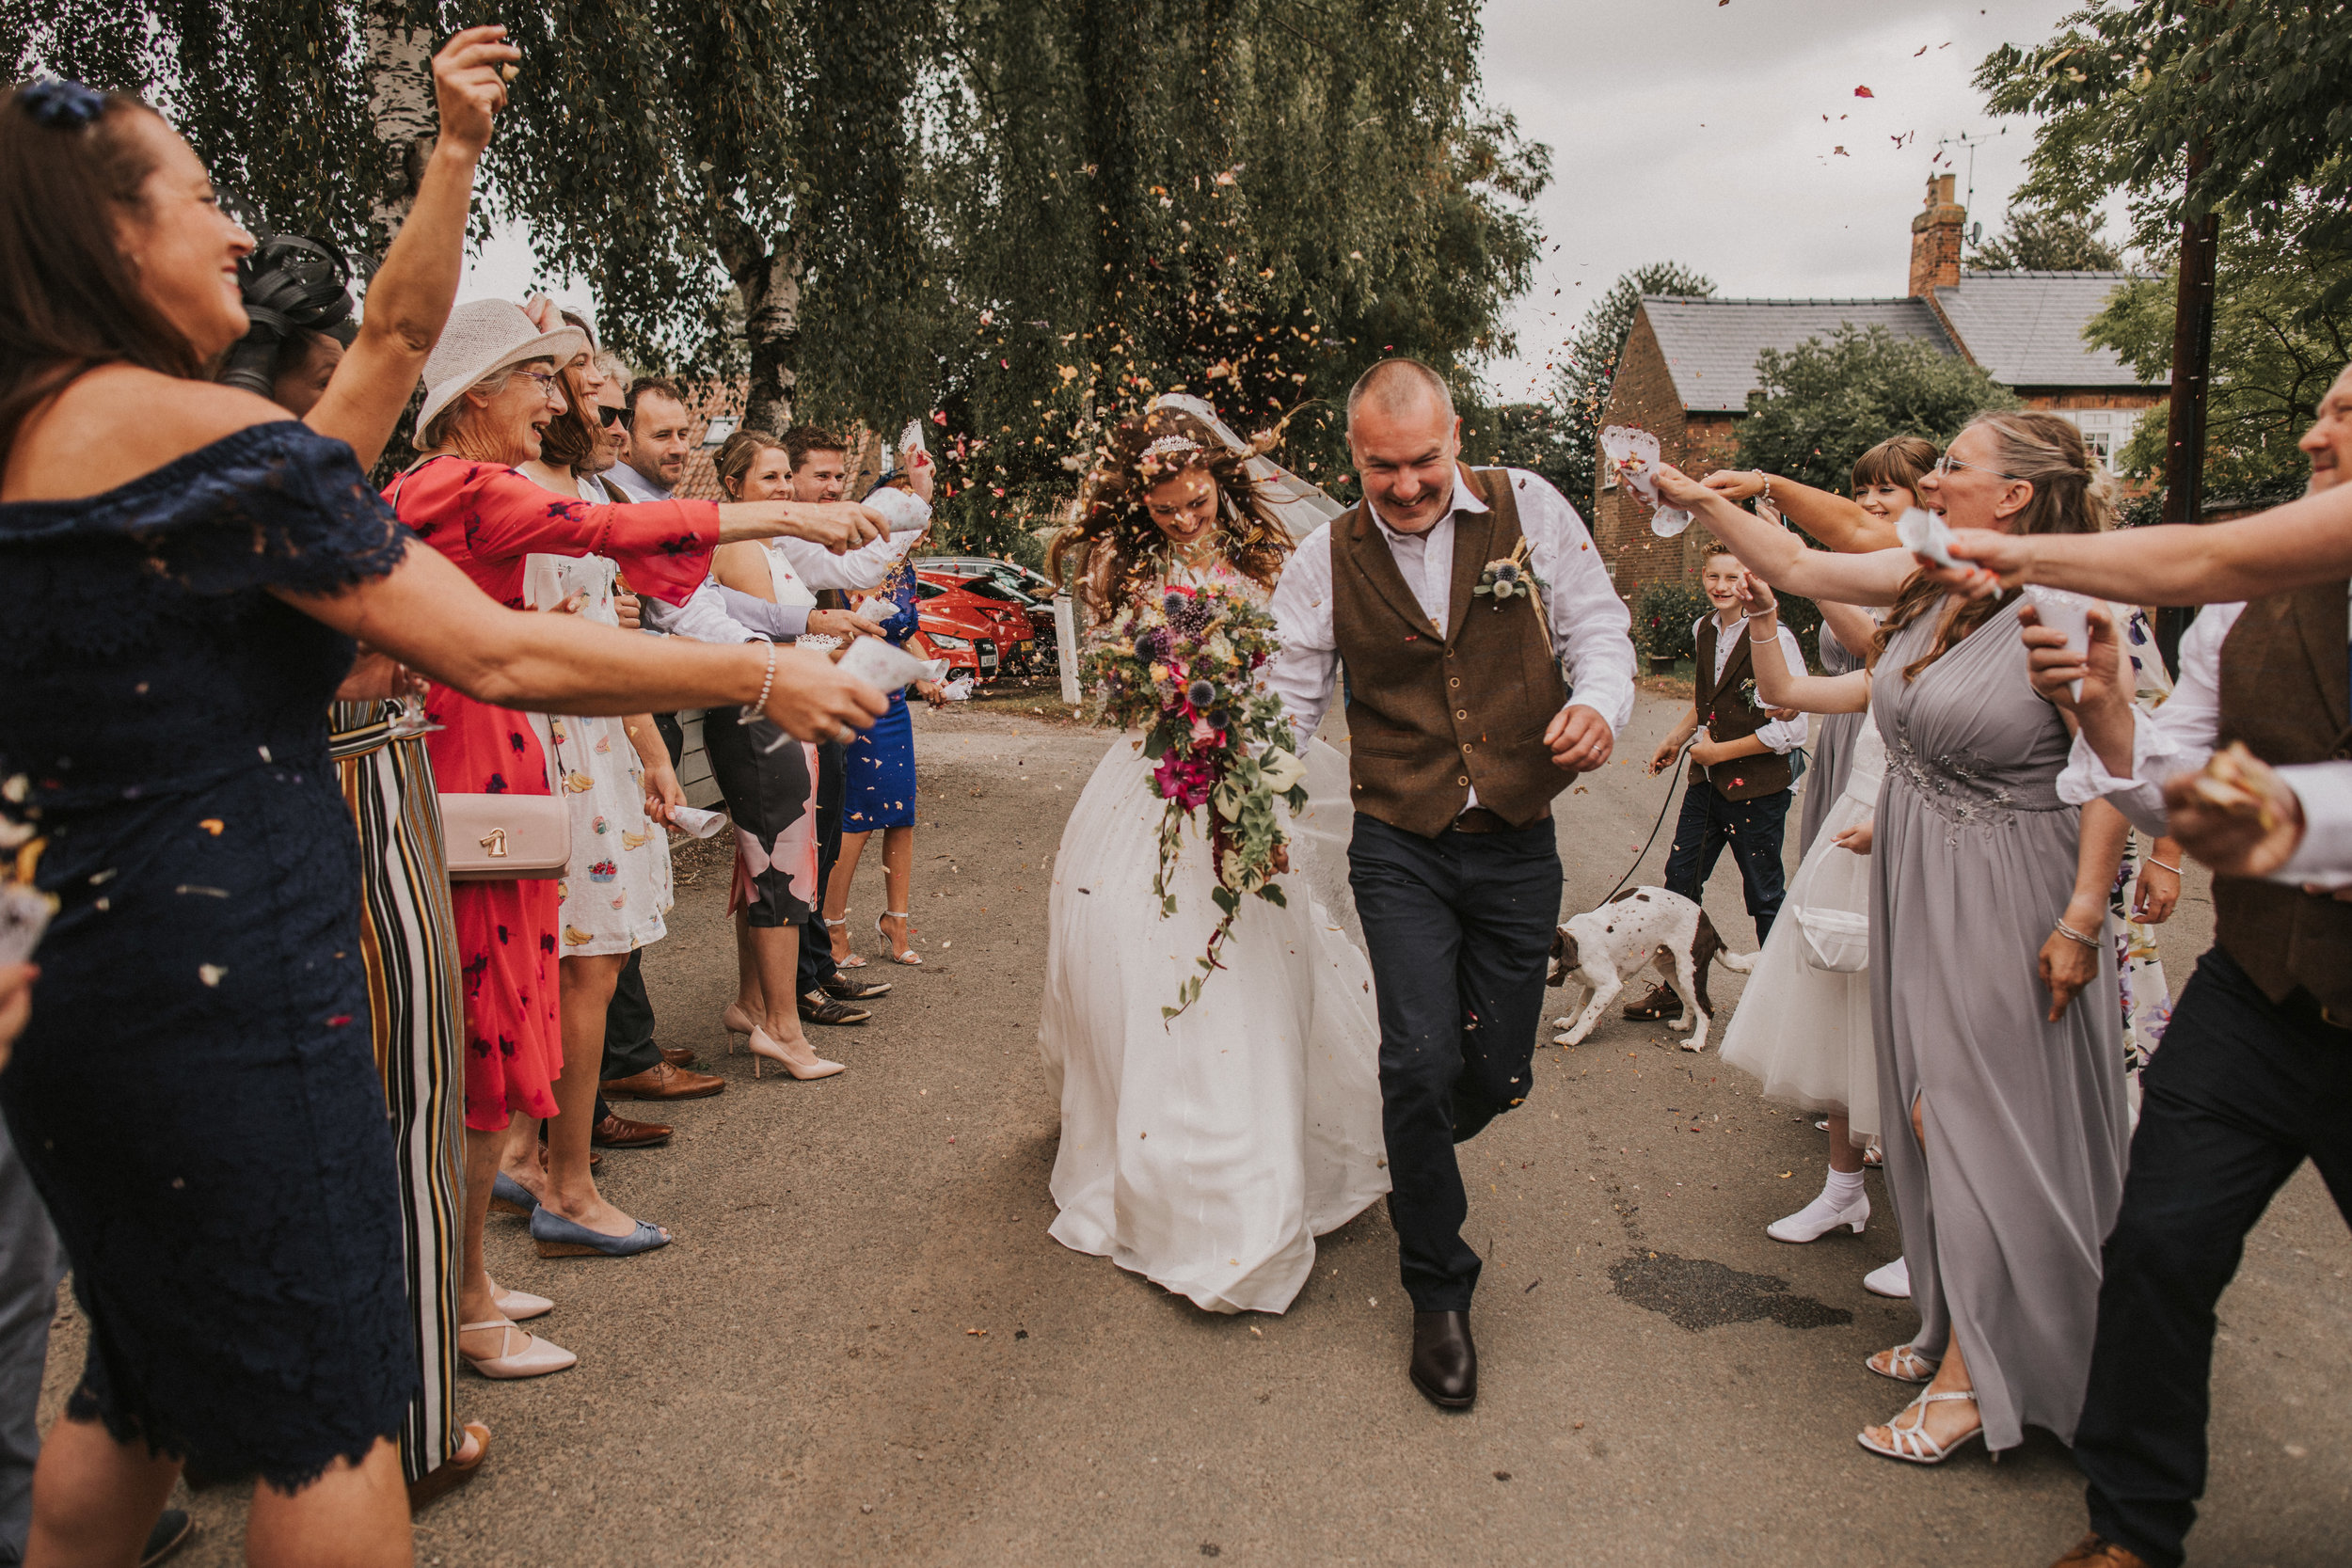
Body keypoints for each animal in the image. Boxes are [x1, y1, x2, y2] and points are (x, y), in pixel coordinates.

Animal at [1552, 888, 1759, 1048]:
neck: (1577, 942)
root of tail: (1708, 925)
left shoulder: (1609, 986)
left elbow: (1587, 1014)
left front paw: (1572, 1037)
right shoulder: (1592, 984)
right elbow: (1581, 1005)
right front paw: (1569, 1022)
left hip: (1690, 972)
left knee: (1706, 1009)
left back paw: (1696, 1043)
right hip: (1670, 968)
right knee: (1688, 1001)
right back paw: (1683, 1025)